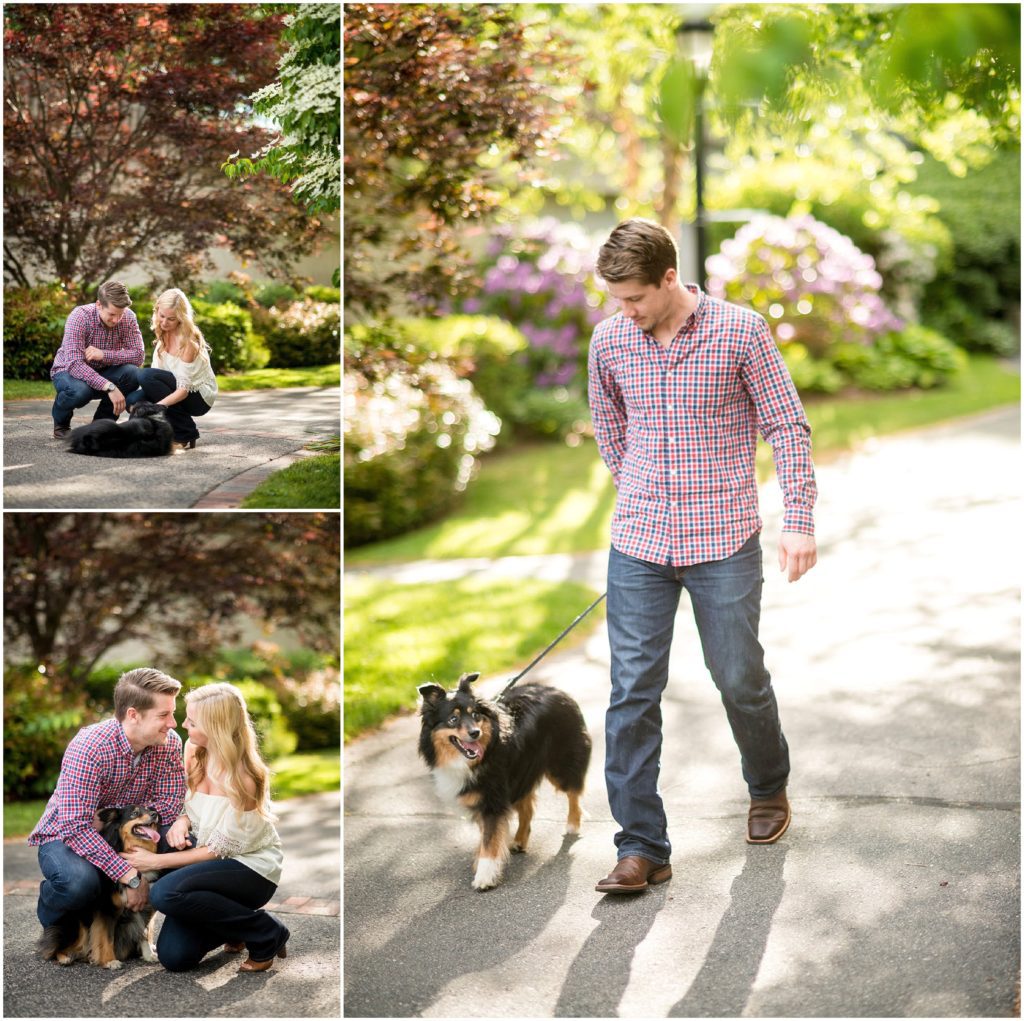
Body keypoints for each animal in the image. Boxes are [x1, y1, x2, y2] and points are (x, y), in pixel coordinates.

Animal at [38, 802, 162, 962]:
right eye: (134, 813)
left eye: (148, 809)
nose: (155, 814)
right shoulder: (106, 908)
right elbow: (106, 937)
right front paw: (110, 961)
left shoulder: (143, 906)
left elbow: (144, 933)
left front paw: (148, 955)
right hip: (78, 924)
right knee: (58, 945)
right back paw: (65, 957)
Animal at [417, 671, 593, 888]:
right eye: (453, 719)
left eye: (475, 715)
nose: (475, 733)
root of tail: (559, 691)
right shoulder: (487, 799)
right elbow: (487, 835)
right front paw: (484, 863)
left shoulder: (493, 800)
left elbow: (489, 839)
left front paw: (484, 876)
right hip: (521, 774)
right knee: (527, 808)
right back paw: (519, 841)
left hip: (561, 766)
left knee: (573, 793)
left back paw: (572, 824)